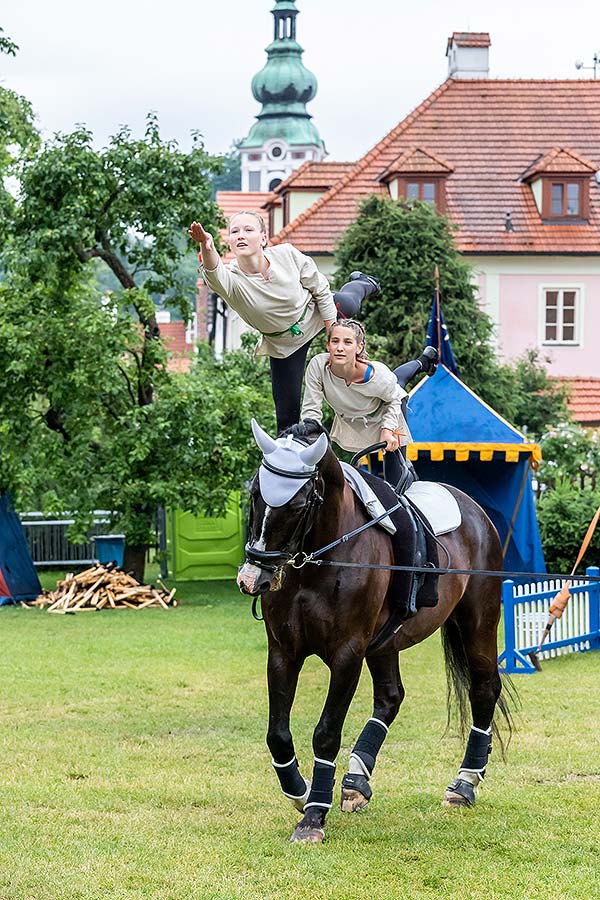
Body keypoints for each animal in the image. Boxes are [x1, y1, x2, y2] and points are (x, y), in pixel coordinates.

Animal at [237, 422, 512, 844]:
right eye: (254, 493)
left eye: (298, 506)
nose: (253, 579)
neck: (316, 564)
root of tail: (474, 508)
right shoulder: (283, 651)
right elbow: (277, 733)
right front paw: (300, 791)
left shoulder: (347, 654)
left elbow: (326, 732)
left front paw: (313, 817)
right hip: (386, 642)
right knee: (390, 697)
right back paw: (356, 779)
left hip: (477, 621)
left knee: (483, 688)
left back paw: (464, 783)